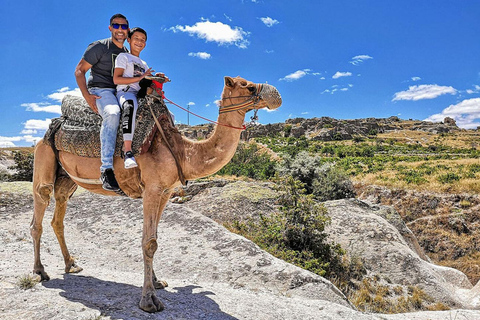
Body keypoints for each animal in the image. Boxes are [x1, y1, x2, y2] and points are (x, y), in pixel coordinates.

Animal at [30, 75, 282, 312]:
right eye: (248, 86)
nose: (276, 94)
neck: (181, 150)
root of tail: (52, 127)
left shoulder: (165, 192)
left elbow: (155, 239)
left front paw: (157, 282)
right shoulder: (151, 189)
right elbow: (149, 242)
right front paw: (149, 300)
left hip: (66, 179)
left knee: (58, 216)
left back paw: (71, 264)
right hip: (44, 159)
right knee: (39, 210)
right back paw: (40, 271)